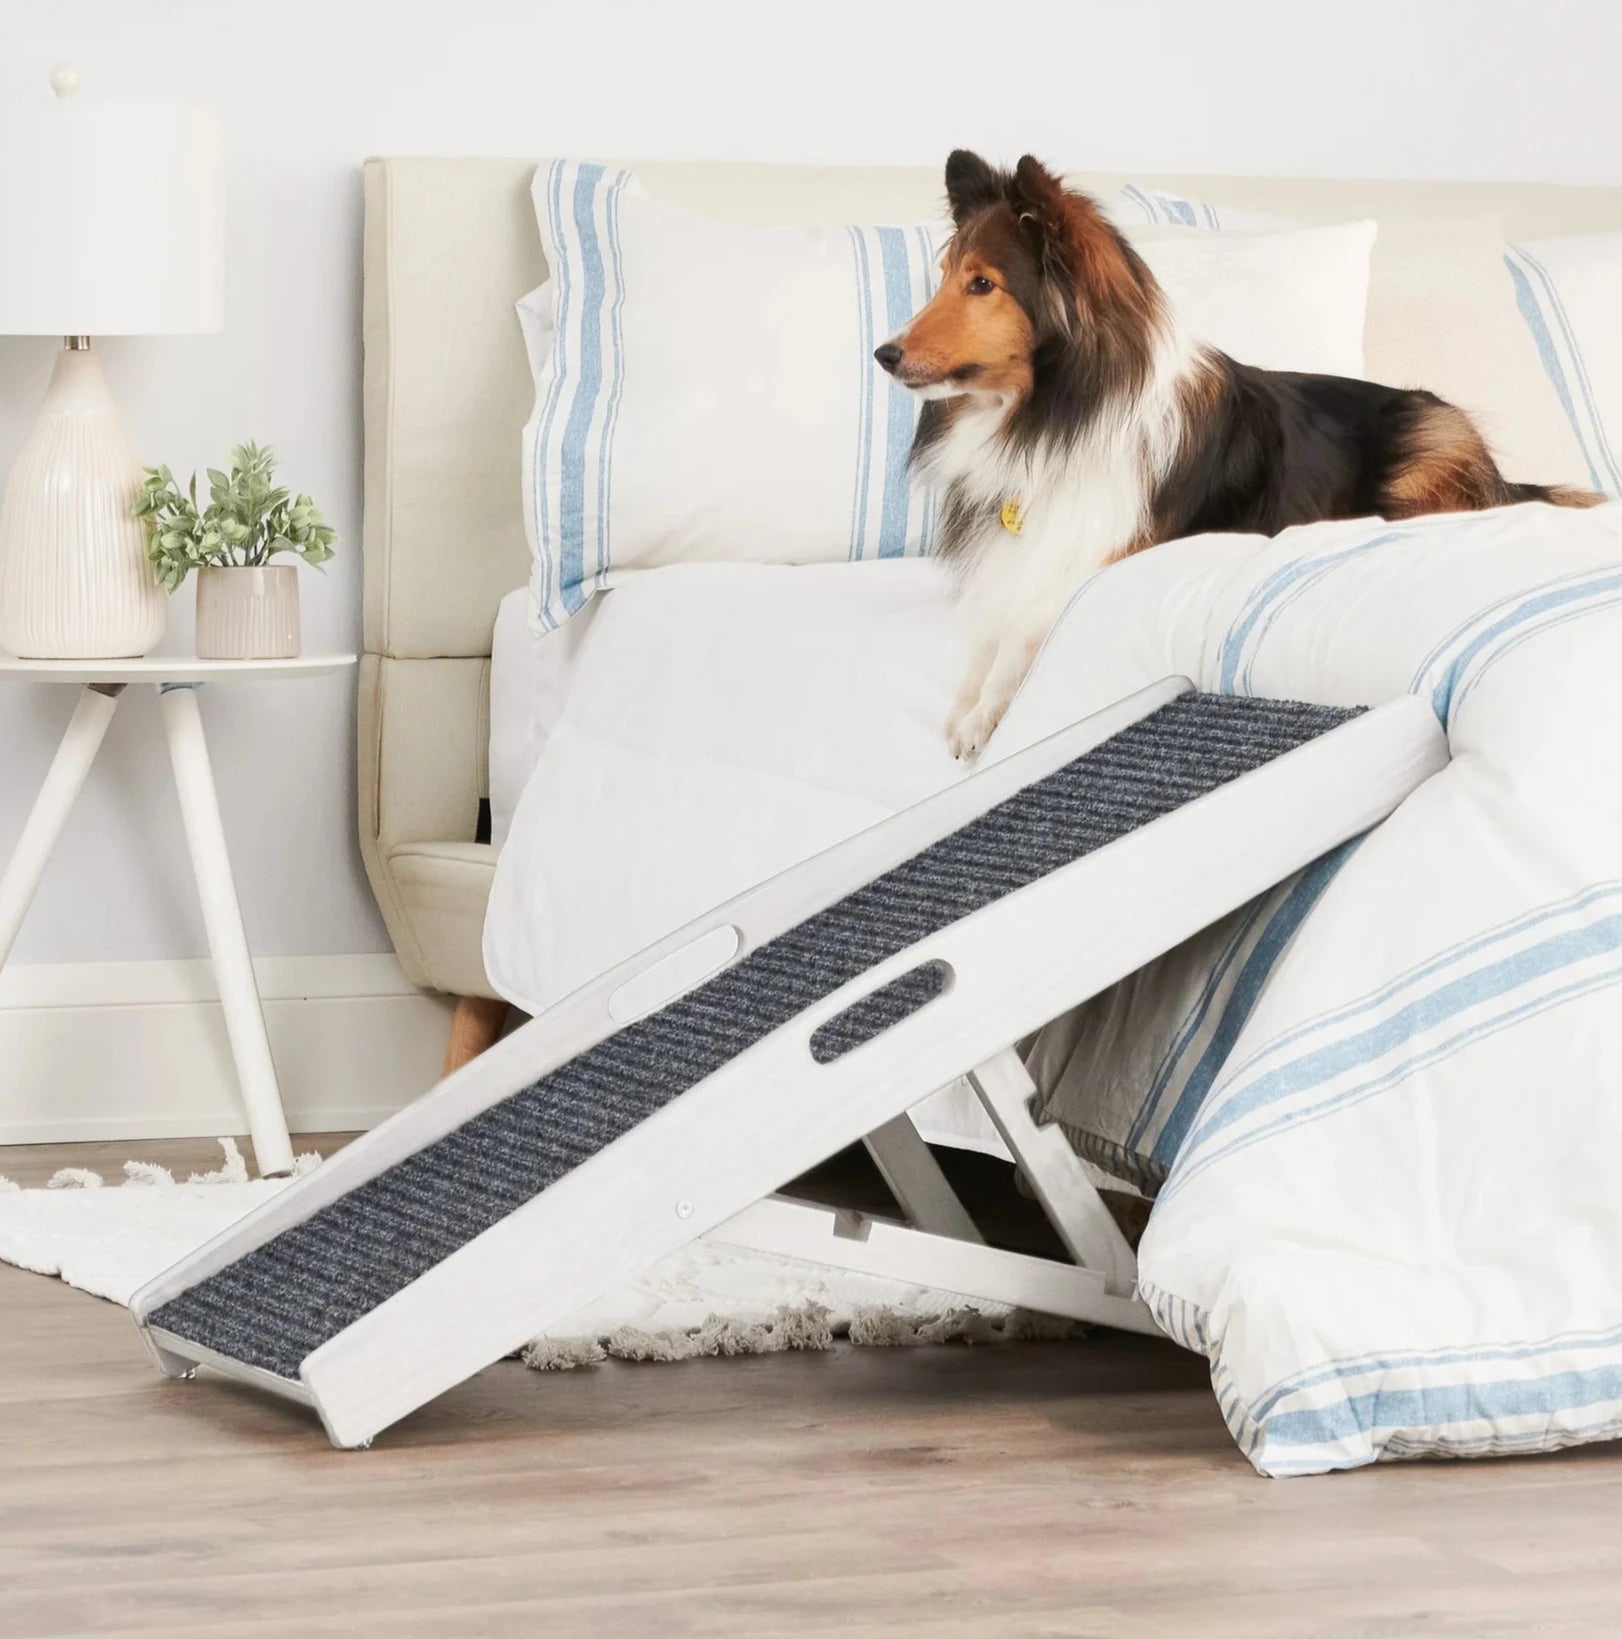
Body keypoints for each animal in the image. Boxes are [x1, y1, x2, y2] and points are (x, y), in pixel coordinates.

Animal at [878, 152, 1599, 753]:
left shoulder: (1103, 557)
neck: (1055, 414)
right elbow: (992, 625)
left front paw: (982, 718)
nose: (884, 354)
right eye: (944, 276)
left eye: (982, 284)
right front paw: (966, 704)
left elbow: (1026, 625)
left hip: (1428, 434)